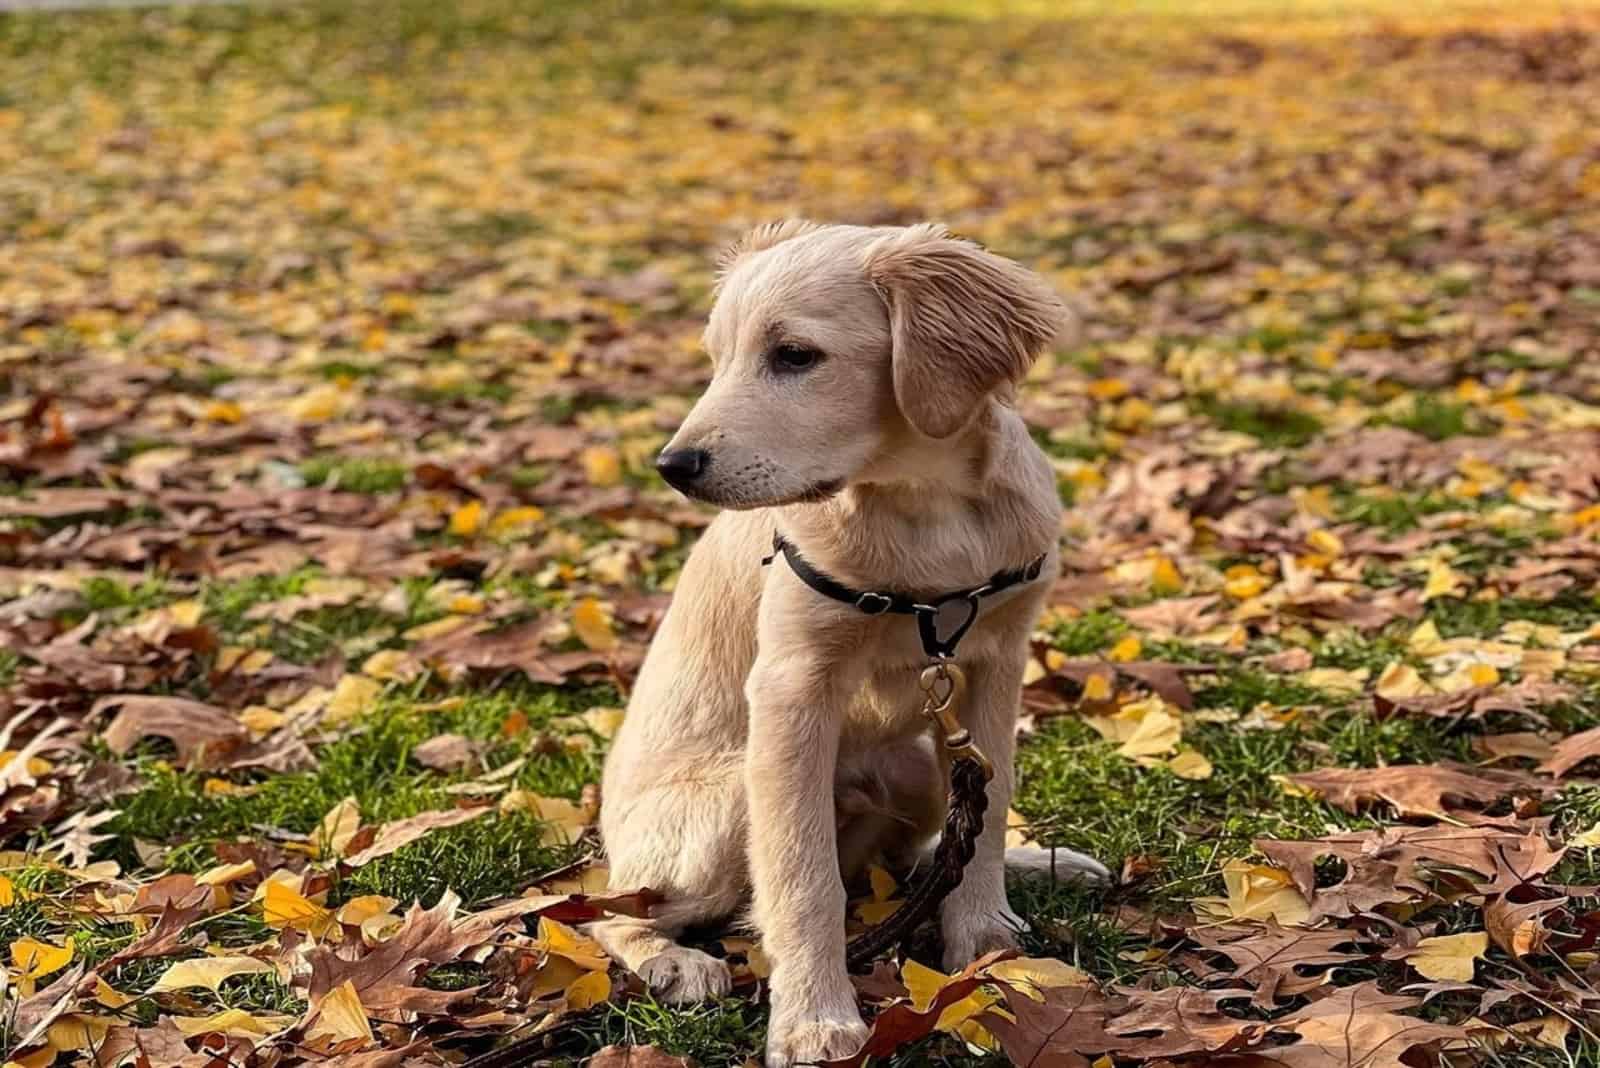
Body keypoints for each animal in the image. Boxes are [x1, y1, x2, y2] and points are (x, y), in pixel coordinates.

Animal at [595, 220, 1107, 1061]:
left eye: (795, 356)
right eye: (717, 356)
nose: (673, 467)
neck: (923, 508)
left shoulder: (996, 664)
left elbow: (991, 807)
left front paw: (984, 936)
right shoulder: (792, 687)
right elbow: (803, 876)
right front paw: (815, 1019)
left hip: (918, 767)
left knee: (922, 850)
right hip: (725, 803)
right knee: (604, 907)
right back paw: (673, 962)